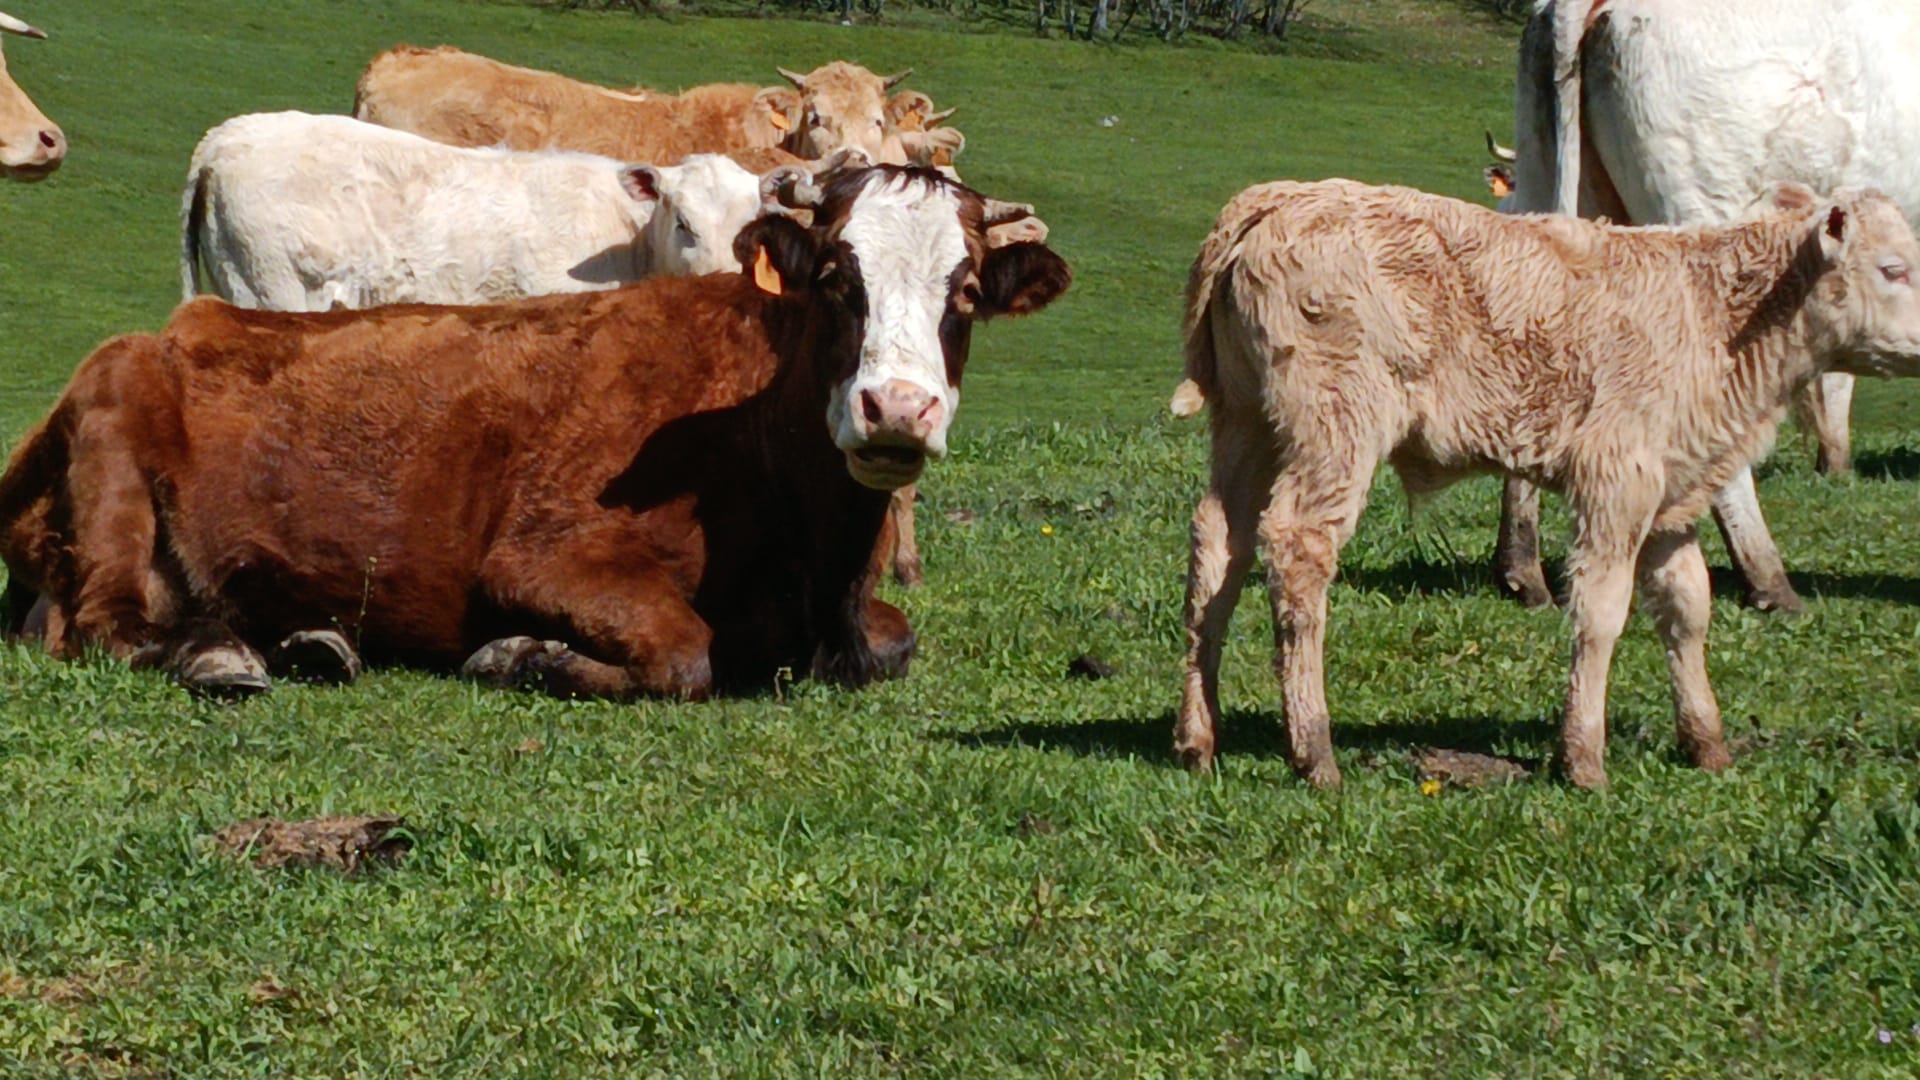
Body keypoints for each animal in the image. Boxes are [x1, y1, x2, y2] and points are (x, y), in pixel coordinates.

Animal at [0, 165, 1071, 700]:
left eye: (965, 292)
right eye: (840, 278)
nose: (897, 408)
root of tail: (181, 326)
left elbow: (897, 644)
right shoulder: (542, 556)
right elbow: (684, 652)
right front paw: (522, 655)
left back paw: (310, 641)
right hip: (111, 462)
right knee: (103, 627)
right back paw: (218, 655)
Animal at [1174, 178, 1920, 790]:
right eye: (1894, 268)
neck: (1714, 314)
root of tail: (1280, 198)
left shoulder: (1672, 494)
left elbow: (1687, 609)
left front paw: (1706, 744)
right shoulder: (1616, 482)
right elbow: (1601, 611)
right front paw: (1583, 758)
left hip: (1246, 424)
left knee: (1219, 548)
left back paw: (1197, 737)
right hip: (1336, 426)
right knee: (1298, 550)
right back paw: (1315, 752)